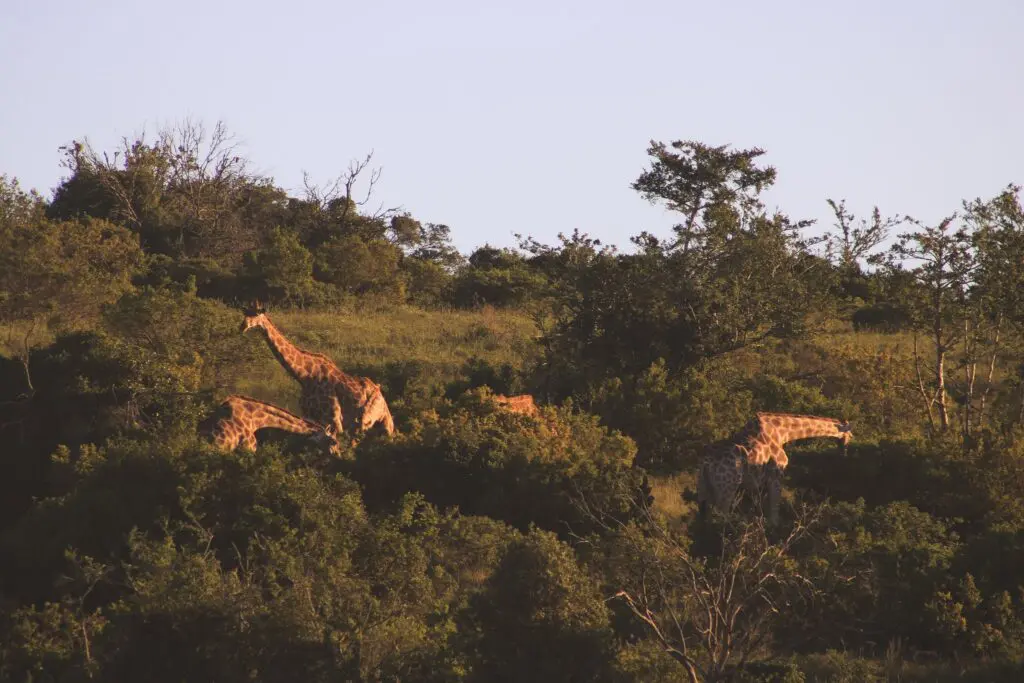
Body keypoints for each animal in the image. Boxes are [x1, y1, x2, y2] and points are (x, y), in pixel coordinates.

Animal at [240, 306, 396, 441]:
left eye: (256, 315)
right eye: (245, 314)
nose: (242, 326)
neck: (304, 376)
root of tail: (381, 393)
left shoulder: (334, 419)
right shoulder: (310, 416)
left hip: (381, 422)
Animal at [696, 412, 852, 526]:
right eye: (851, 435)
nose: (844, 453)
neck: (782, 433)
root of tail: (706, 462)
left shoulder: (756, 483)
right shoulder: (776, 475)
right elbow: (774, 509)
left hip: (704, 488)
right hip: (727, 487)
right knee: (722, 514)